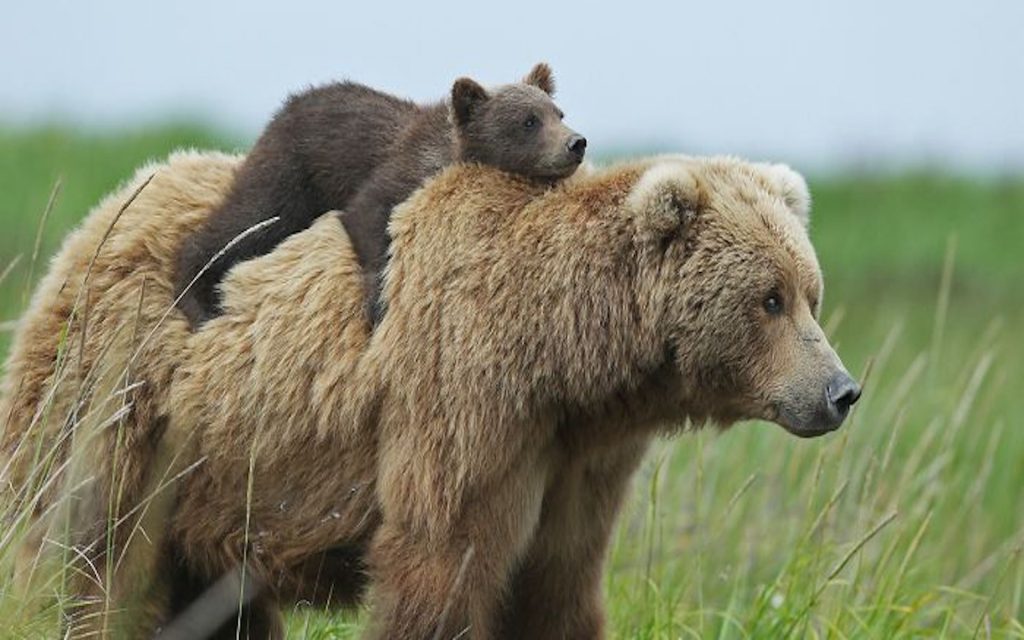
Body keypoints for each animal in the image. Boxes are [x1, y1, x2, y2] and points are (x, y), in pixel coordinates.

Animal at [2, 152, 856, 634]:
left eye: (811, 292)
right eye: (770, 298)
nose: (841, 390)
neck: (564, 360)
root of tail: (105, 212)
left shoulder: (576, 460)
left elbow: (556, 586)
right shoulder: (463, 403)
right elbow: (440, 562)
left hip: (211, 480)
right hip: (120, 402)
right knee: (81, 556)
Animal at [172, 61, 581, 323]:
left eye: (558, 112)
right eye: (528, 121)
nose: (576, 143)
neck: (448, 153)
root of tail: (287, 106)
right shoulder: (400, 170)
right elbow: (367, 212)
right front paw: (377, 302)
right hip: (291, 171)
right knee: (248, 220)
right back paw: (197, 298)